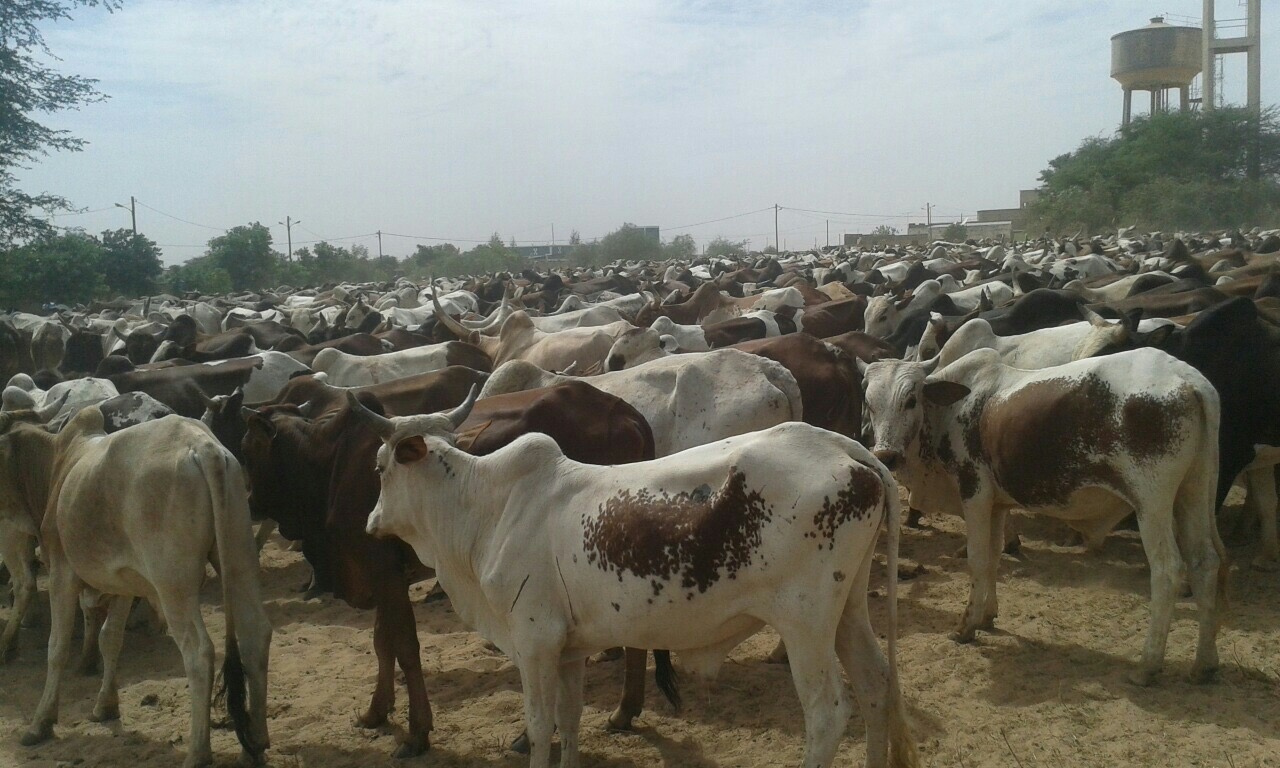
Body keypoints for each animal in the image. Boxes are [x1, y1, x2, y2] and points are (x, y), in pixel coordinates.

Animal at [355, 396, 921, 768]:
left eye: (380, 467)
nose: (370, 522)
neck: (489, 507)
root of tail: (847, 450)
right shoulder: (567, 649)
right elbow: (569, 723)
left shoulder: (534, 641)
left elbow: (539, 728)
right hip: (847, 611)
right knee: (876, 688)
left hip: (805, 623)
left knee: (828, 715)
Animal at [860, 348, 1228, 686]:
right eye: (869, 403)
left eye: (910, 400)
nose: (886, 455)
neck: (949, 412)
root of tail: (1187, 378)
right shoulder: (997, 505)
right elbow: (994, 558)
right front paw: (988, 616)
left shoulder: (974, 494)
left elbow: (977, 560)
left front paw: (967, 625)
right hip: (1193, 493)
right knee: (1205, 562)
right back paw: (1204, 664)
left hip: (1152, 504)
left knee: (1167, 570)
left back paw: (1147, 665)